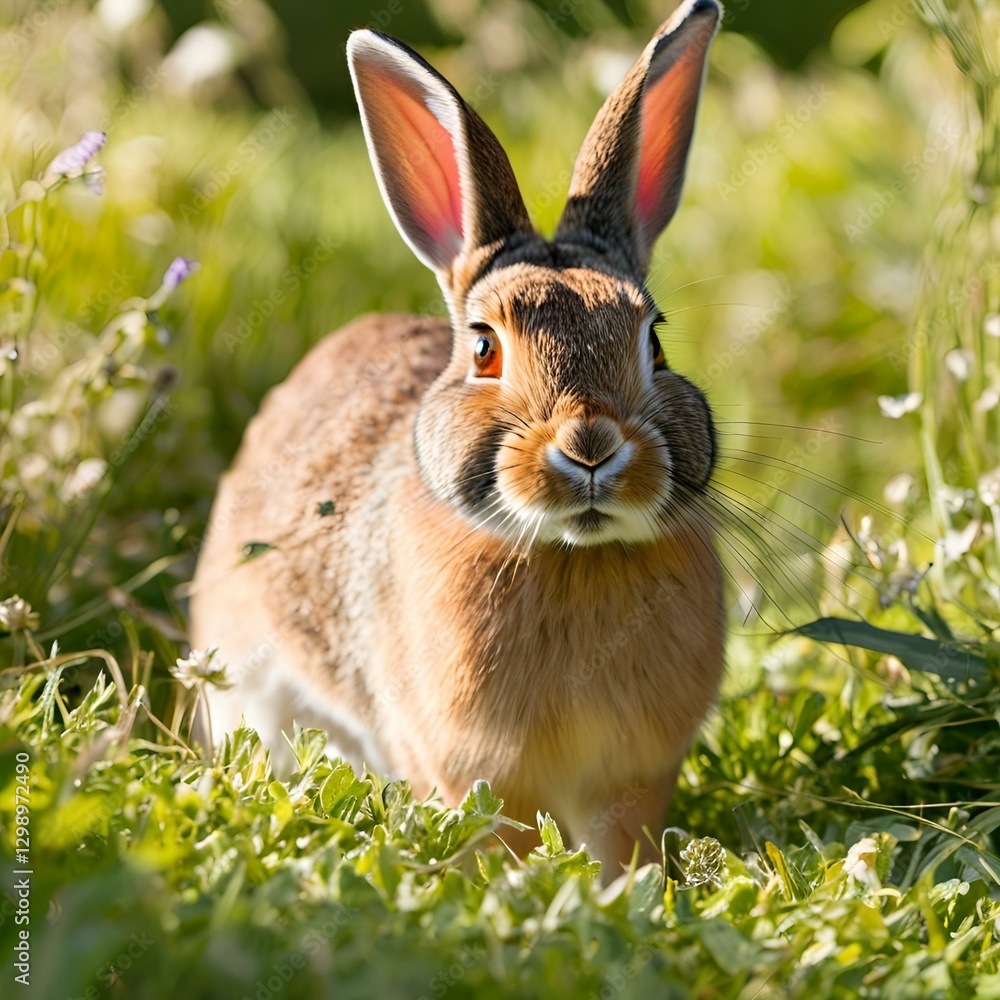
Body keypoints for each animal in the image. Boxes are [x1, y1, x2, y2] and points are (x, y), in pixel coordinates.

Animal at [190, 0, 725, 874]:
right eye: (484, 349)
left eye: (654, 343)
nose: (590, 445)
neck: (570, 556)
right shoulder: (469, 768)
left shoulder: (633, 778)